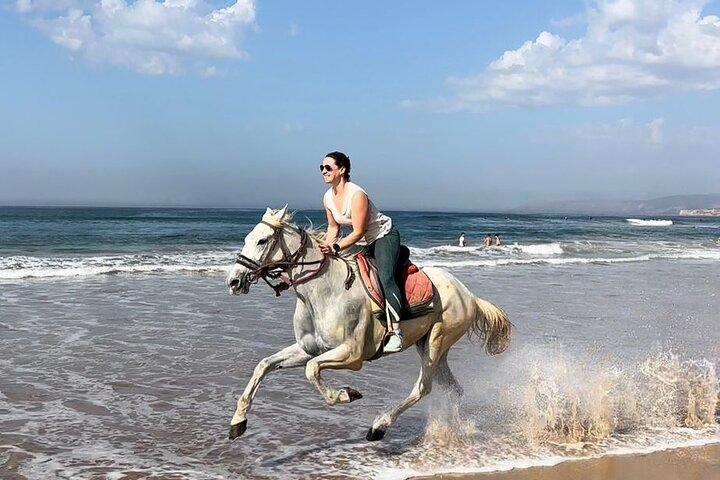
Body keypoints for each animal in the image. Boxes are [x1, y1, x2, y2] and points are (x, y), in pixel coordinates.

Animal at [225, 206, 511, 441]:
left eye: (262, 240)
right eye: (246, 238)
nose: (234, 282)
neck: (323, 291)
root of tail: (469, 296)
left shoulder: (352, 355)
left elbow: (311, 370)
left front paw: (345, 394)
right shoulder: (308, 349)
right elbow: (264, 366)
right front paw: (238, 422)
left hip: (436, 343)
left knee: (423, 388)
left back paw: (379, 426)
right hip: (431, 347)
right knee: (453, 389)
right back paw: (453, 430)